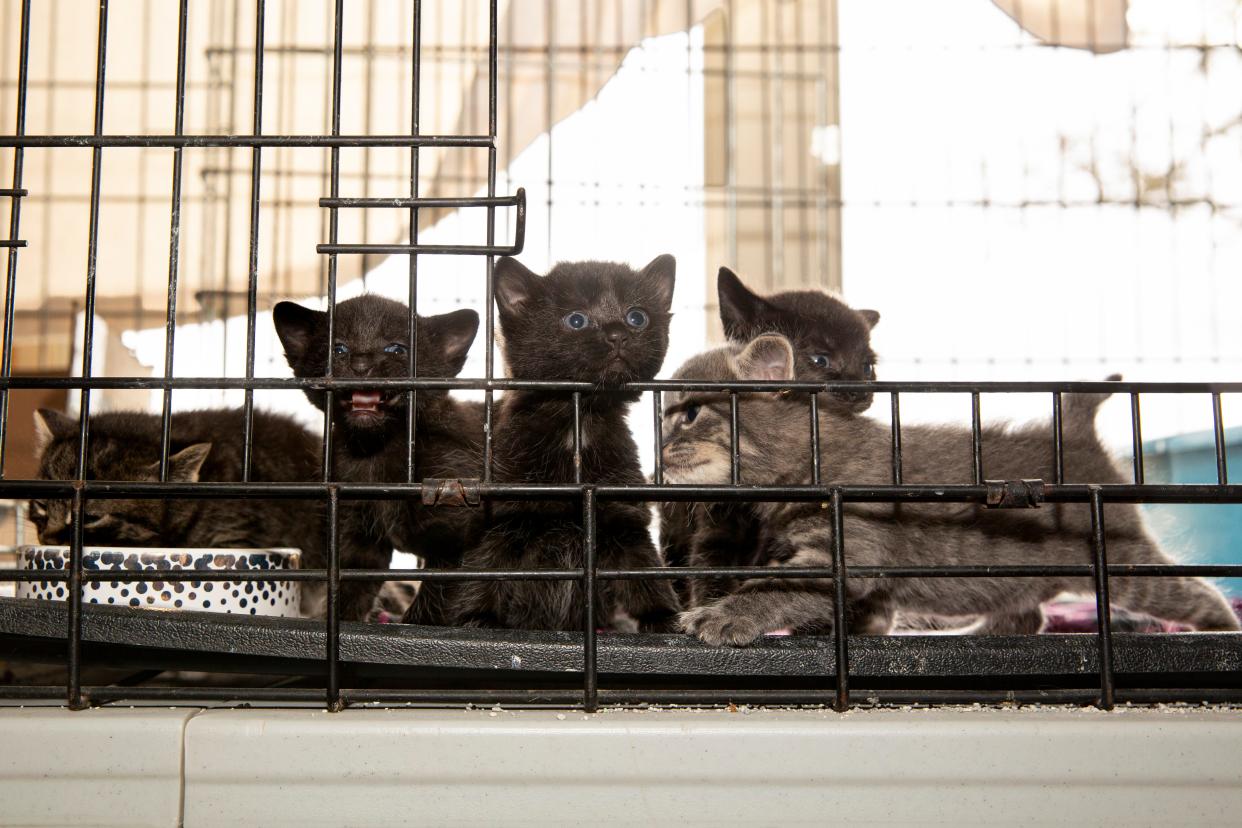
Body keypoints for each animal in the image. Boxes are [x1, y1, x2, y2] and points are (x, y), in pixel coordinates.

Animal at [274, 294, 481, 618]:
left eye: (396, 349)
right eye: (339, 348)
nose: (361, 365)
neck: (376, 454)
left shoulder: (459, 535)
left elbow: (435, 599)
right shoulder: (358, 540)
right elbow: (349, 591)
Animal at [404, 255, 680, 630]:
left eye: (637, 317)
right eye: (576, 320)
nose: (617, 334)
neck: (576, 426)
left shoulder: (625, 520)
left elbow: (645, 574)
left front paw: (666, 621)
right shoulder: (500, 521)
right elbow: (485, 570)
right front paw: (478, 621)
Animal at [665, 332, 1237, 645]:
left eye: (688, 414)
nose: (658, 449)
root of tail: (1075, 435)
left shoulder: (841, 554)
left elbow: (776, 588)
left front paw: (725, 615)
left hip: (1126, 562)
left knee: (1202, 593)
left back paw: (1222, 630)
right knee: (1028, 616)